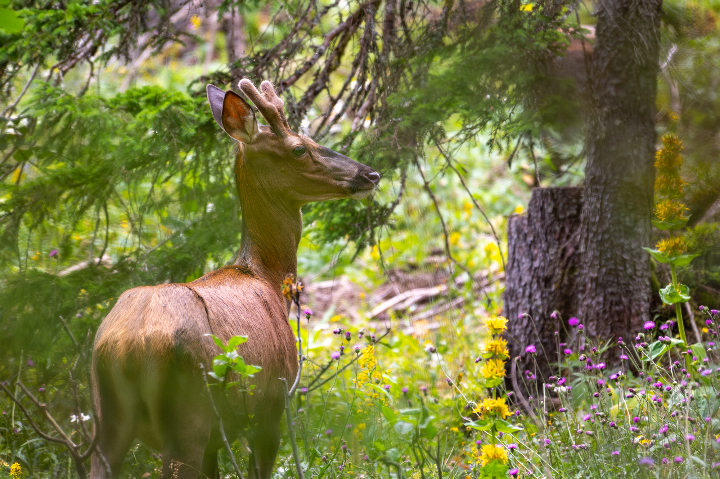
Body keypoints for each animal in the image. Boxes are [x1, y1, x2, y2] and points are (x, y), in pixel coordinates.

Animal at [90, 79, 380, 479]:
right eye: (299, 148)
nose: (371, 174)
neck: (266, 276)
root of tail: (128, 347)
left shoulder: (219, 437)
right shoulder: (272, 405)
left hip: (108, 418)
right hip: (189, 411)